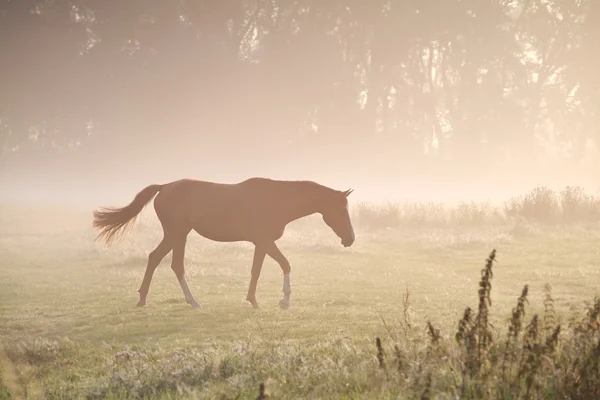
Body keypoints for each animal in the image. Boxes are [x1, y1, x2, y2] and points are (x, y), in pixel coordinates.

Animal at [91, 177, 354, 310]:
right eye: (341, 209)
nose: (350, 238)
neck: (277, 200)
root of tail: (164, 187)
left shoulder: (261, 244)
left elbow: (256, 270)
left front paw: (254, 300)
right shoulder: (266, 241)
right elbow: (285, 264)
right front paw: (284, 300)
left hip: (178, 235)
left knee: (163, 261)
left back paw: (155, 299)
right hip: (176, 234)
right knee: (167, 262)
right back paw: (186, 301)